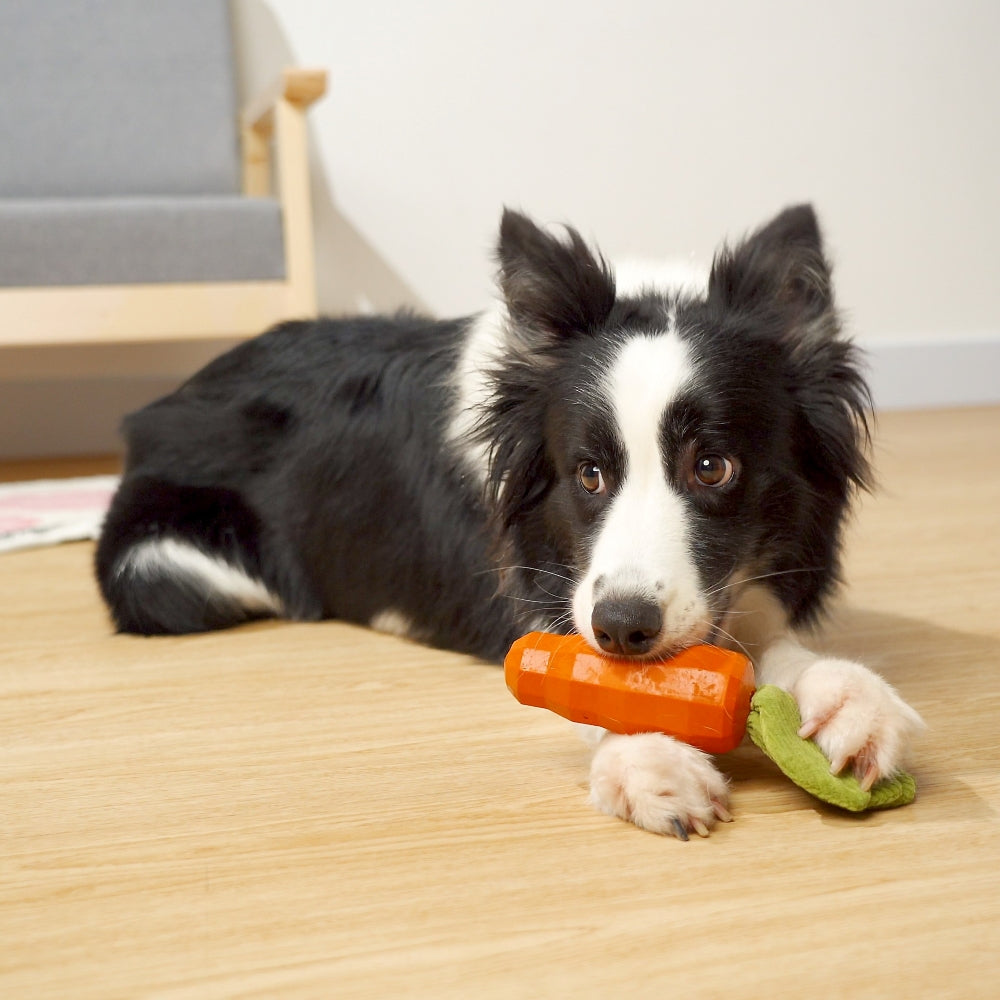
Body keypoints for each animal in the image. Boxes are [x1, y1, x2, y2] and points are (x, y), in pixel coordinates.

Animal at [97, 203, 924, 836]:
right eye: (588, 474)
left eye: (712, 466)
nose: (625, 628)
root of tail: (156, 406)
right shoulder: (545, 595)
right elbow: (587, 677)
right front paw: (651, 763)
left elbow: (763, 657)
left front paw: (850, 704)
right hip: (167, 571)